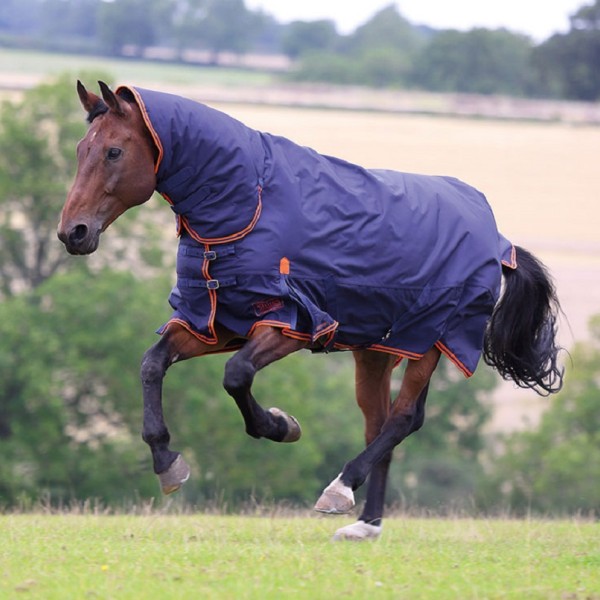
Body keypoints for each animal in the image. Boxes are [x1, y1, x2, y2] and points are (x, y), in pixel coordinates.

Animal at [57, 81, 564, 544]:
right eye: (82, 149)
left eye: (114, 151)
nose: (72, 233)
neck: (250, 204)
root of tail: (499, 242)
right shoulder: (214, 323)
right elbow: (152, 364)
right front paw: (167, 464)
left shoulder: (289, 324)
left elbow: (236, 376)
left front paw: (280, 426)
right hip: (376, 350)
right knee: (381, 424)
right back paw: (366, 524)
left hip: (429, 341)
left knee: (402, 419)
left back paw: (340, 489)